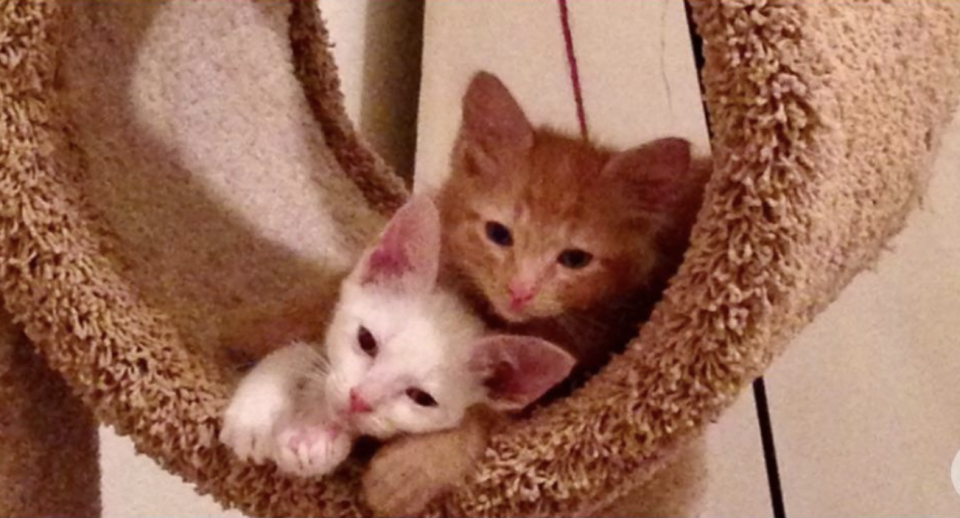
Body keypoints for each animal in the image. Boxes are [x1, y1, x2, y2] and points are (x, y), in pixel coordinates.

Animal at [220, 196, 572, 480]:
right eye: (367, 342)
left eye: (421, 398)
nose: (359, 399)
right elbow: (300, 352)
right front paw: (255, 415)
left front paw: (318, 440)